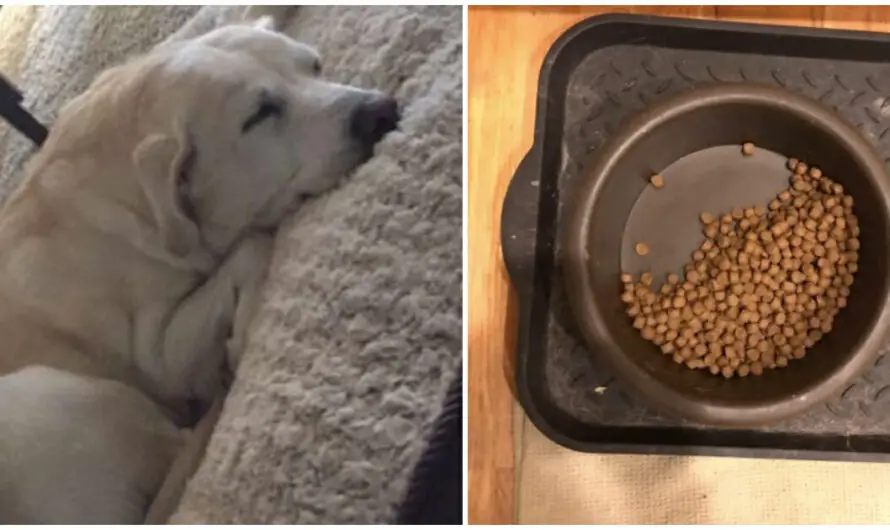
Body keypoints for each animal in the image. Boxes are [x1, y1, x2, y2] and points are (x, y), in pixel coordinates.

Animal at [0, 9, 398, 524]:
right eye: (259, 115)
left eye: (314, 66)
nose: (382, 110)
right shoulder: (165, 356)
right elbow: (250, 246)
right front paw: (243, 326)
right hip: (52, 395)